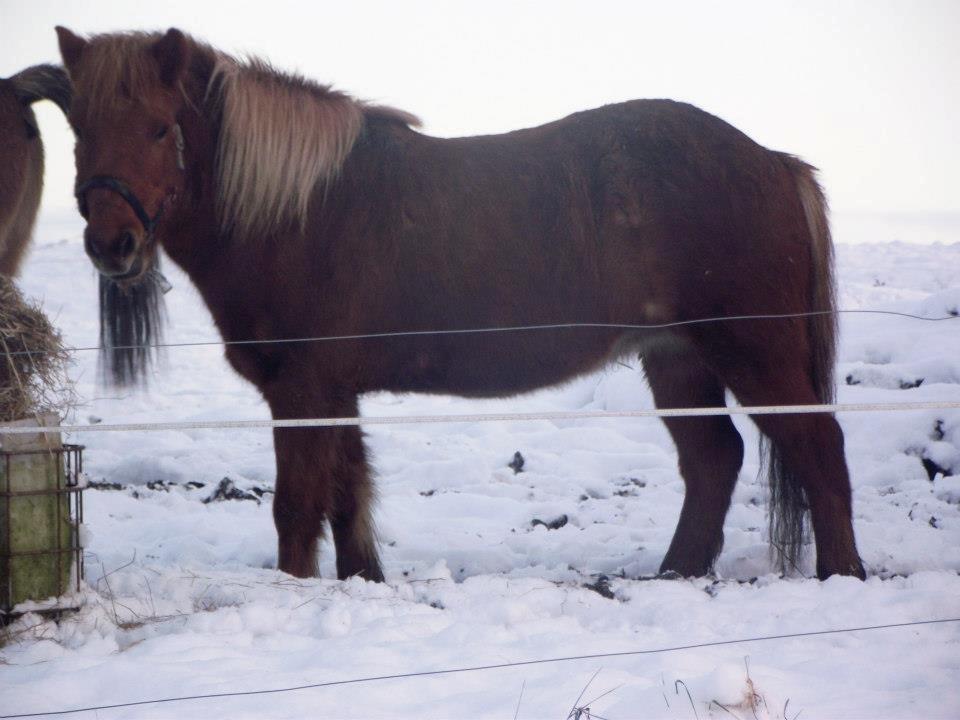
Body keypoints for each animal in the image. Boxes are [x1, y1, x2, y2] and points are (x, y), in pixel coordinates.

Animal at [56, 25, 868, 584]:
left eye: (161, 127)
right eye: (80, 130)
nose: (112, 244)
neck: (294, 210)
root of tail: (774, 163)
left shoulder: (304, 391)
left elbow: (297, 505)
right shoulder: (333, 391)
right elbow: (347, 496)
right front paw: (361, 584)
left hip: (752, 351)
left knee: (819, 450)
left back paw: (841, 576)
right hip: (678, 358)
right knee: (714, 460)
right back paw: (676, 574)